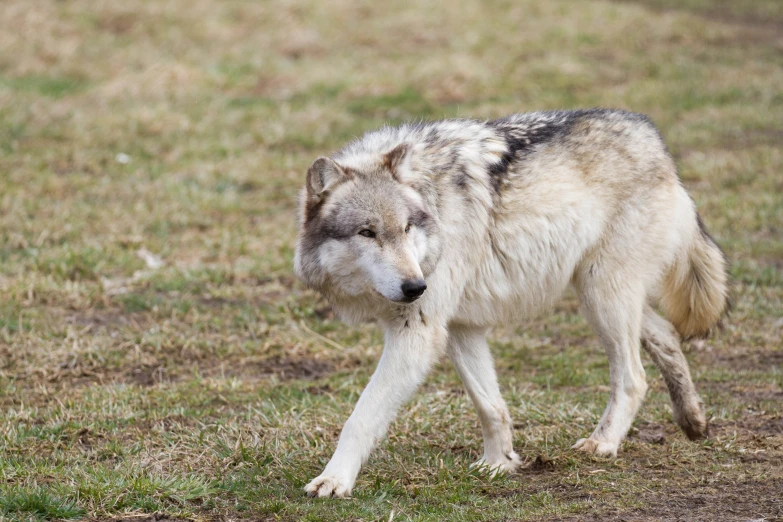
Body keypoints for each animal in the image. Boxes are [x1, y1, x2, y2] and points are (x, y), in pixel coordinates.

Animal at [292, 108, 728, 496]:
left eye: (406, 228)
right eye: (367, 232)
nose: (416, 287)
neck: (431, 198)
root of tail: (654, 138)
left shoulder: (418, 333)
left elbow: (361, 416)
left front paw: (334, 480)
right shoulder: (460, 329)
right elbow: (491, 406)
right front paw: (499, 463)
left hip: (602, 297)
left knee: (633, 376)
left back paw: (603, 443)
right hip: (604, 296)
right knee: (666, 333)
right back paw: (693, 420)